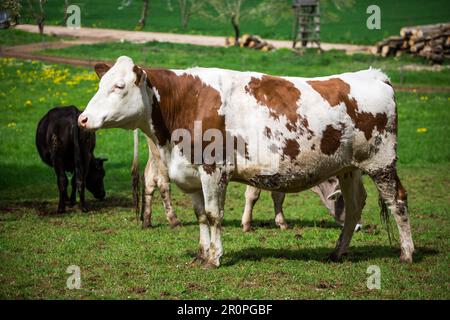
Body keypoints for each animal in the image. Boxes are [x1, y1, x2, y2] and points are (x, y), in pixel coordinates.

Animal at [80, 56, 414, 266]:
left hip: (381, 162)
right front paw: (202, 253)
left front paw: (215, 258)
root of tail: (373, 76)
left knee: (397, 201)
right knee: (355, 204)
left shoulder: (214, 170)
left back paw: (407, 254)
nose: (83, 119)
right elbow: (201, 216)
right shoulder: (190, 174)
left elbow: (214, 215)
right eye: (100, 84)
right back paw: (337, 253)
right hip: (348, 168)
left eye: (119, 86)